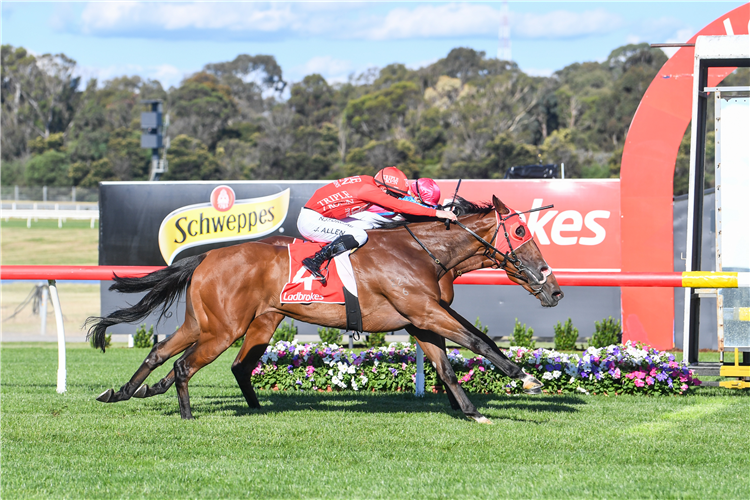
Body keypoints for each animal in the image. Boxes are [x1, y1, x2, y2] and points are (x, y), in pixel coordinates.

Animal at [89, 196, 564, 422]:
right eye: (520, 231)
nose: (553, 287)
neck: (421, 251)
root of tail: (206, 256)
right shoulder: (424, 311)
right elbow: (477, 343)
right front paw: (526, 379)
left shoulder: (421, 318)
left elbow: (449, 362)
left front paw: (470, 410)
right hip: (223, 328)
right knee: (185, 365)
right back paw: (185, 412)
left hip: (209, 322)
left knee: (163, 352)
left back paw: (124, 391)